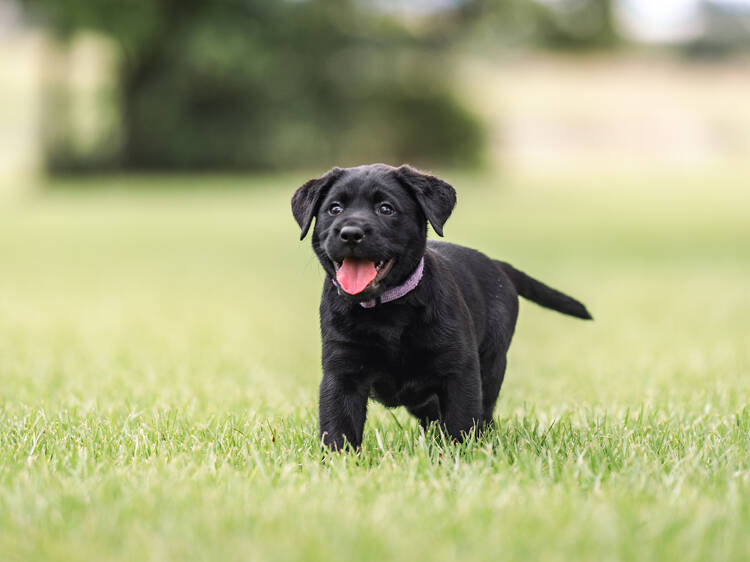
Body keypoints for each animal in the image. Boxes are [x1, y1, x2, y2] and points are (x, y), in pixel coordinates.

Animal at [290, 162, 592, 446]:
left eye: (386, 209)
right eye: (335, 209)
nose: (351, 233)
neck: (387, 312)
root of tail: (498, 265)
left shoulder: (459, 371)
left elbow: (461, 422)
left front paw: (461, 456)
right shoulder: (341, 373)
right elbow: (338, 428)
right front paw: (339, 459)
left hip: (492, 363)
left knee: (484, 413)